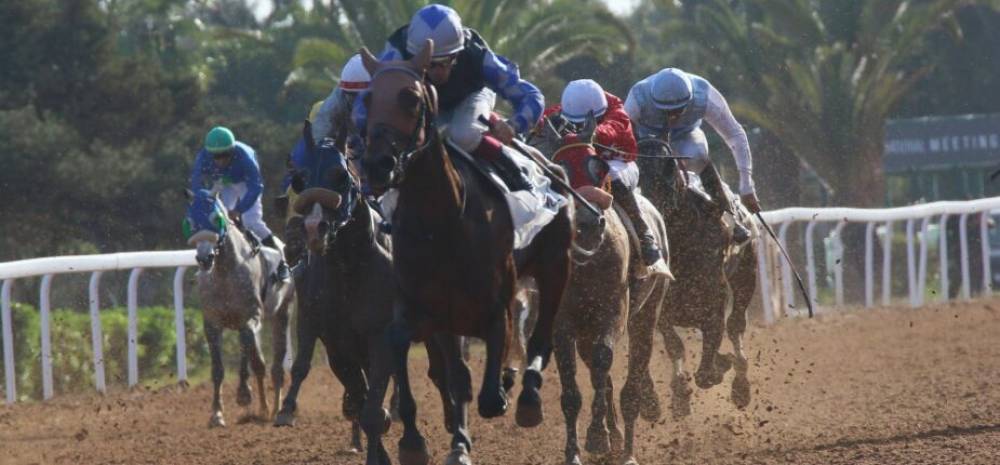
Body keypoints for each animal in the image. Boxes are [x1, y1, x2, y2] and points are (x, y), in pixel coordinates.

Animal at [184, 187, 292, 426]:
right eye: (191, 221)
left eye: (216, 219)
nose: (205, 258)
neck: (224, 272)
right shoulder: (212, 323)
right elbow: (218, 369)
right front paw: (216, 414)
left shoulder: (251, 317)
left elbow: (251, 355)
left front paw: (247, 397)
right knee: (256, 360)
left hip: (282, 312)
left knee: (275, 367)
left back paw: (274, 408)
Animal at [362, 40, 576, 464]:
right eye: (368, 98)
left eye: (411, 98)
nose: (377, 165)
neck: (441, 221)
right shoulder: (428, 307)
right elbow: (418, 354)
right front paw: (423, 441)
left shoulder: (493, 302)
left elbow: (490, 394)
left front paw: (504, 391)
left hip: (555, 266)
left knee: (542, 337)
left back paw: (528, 396)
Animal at [632, 140, 756, 424]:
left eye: (668, 170)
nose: (650, 211)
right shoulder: (662, 309)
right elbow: (675, 345)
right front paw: (678, 397)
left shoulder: (714, 304)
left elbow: (708, 367)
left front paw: (721, 367)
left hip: (746, 274)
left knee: (736, 324)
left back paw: (741, 386)